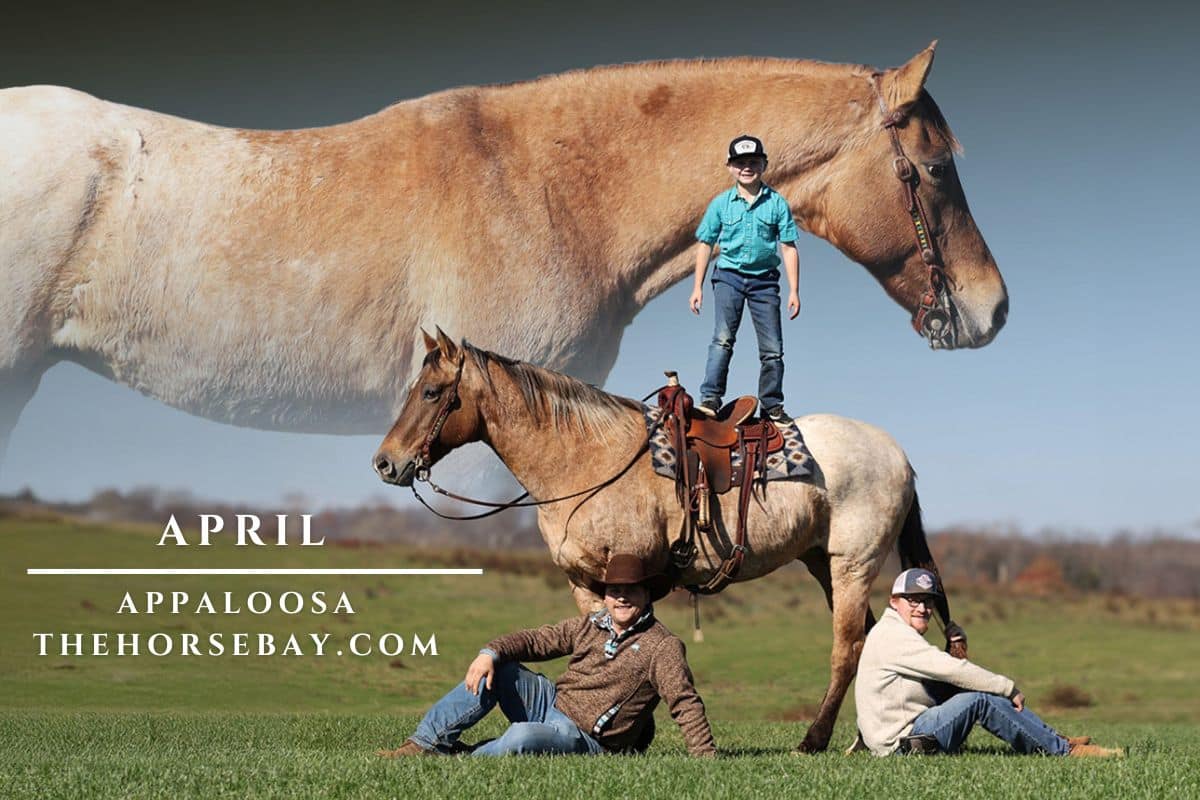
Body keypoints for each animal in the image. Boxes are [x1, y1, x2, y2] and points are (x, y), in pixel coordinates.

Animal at [372, 329, 966, 753]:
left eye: (431, 392)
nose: (385, 463)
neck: (588, 461)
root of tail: (896, 454)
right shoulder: (586, 583)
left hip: (852, 564)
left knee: (848, 647)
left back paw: (814, 741)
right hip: (823, 563)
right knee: (870, 640)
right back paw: (859, 740)